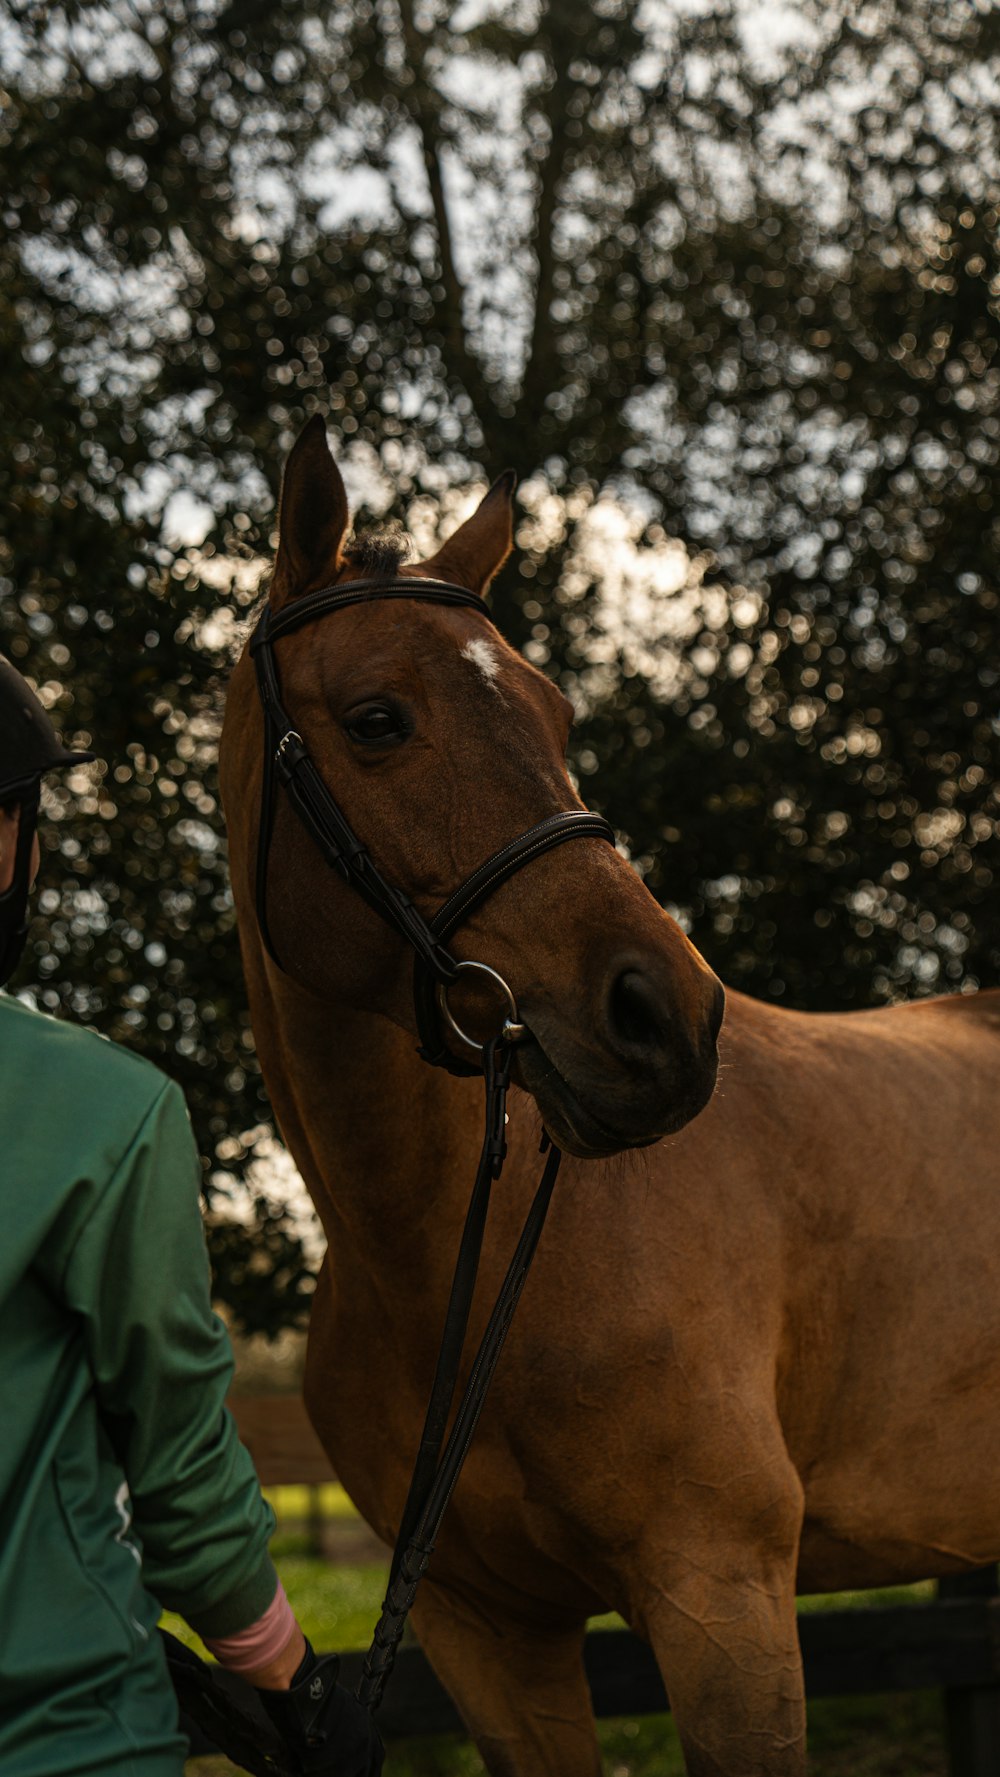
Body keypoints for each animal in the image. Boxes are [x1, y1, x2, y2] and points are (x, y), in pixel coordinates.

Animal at [221, 408, 1000, 1769]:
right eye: (376, 719)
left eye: (556, 716)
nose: (668, 1022)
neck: (462, 1261)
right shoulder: (487, 1634)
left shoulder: (719, 1601)